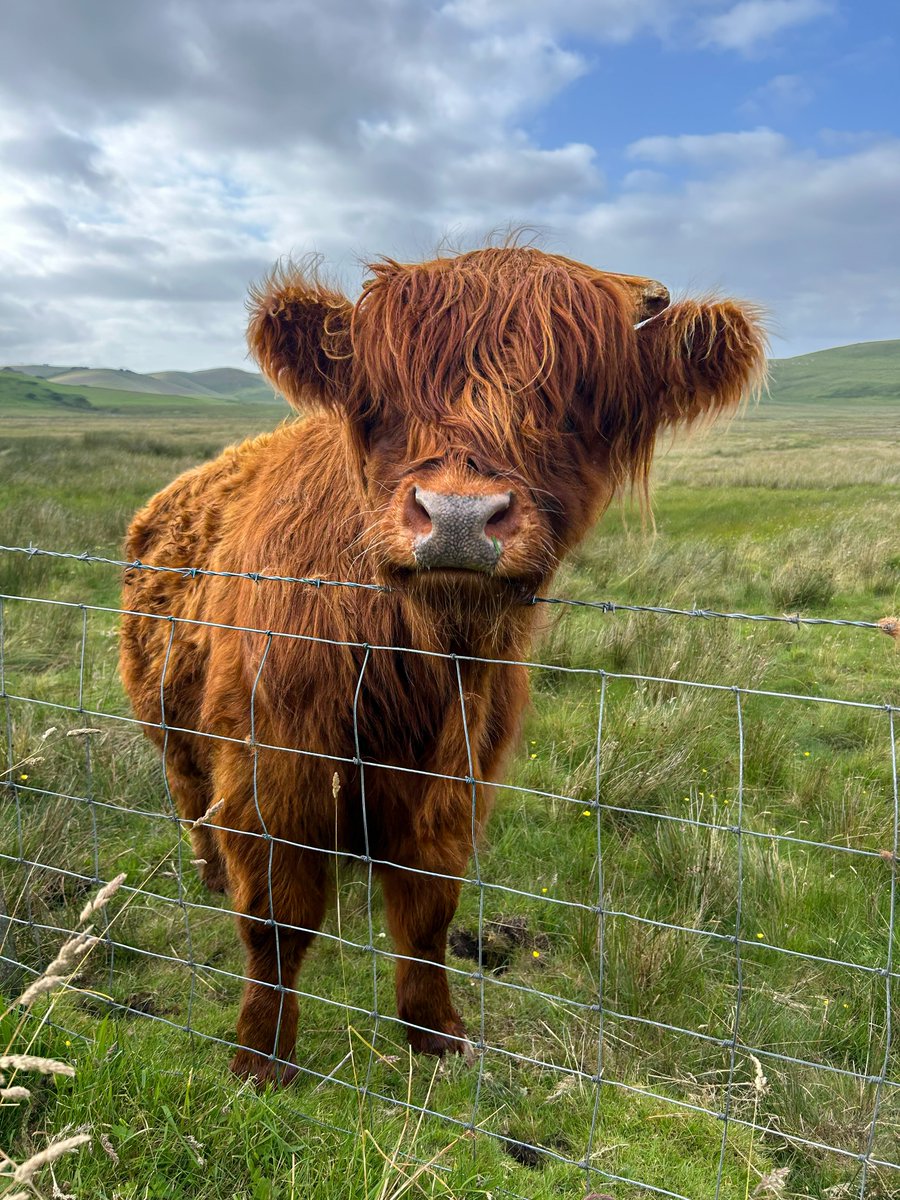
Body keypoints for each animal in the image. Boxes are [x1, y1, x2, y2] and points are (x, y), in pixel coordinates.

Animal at [119, 246, 765, 1085]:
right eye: (381, 395)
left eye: (579, 397)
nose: (459, 517)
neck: (415, 655)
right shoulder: (275, 767)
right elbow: (276, 918)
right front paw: (262, 1058)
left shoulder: (462, 774)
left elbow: (428, 910)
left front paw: (436, 1034)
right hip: (169, 726)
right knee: (190, 798)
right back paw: (207, 873)